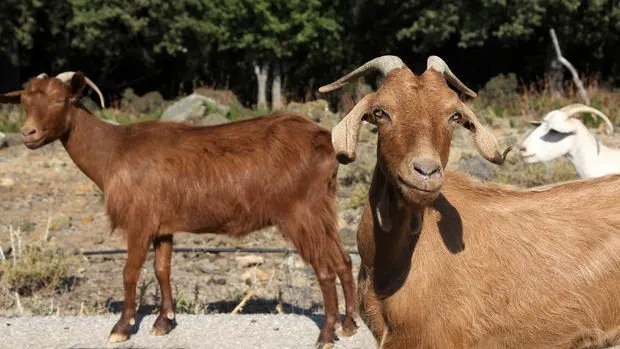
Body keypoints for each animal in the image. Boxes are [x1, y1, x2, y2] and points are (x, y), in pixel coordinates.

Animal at [1, 71, 358, 346]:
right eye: (25, 103)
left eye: (60, 100)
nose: (28, 133)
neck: (113, 151)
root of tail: (326, 141)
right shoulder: (163, 226)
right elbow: (162, 269)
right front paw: (164, 322)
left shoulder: (140, 220)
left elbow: (130, 271)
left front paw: (121, 328)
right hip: (322, 209)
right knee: (343, 260)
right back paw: (349, 325)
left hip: (300, 213)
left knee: (324, 269)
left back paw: (326, 335)